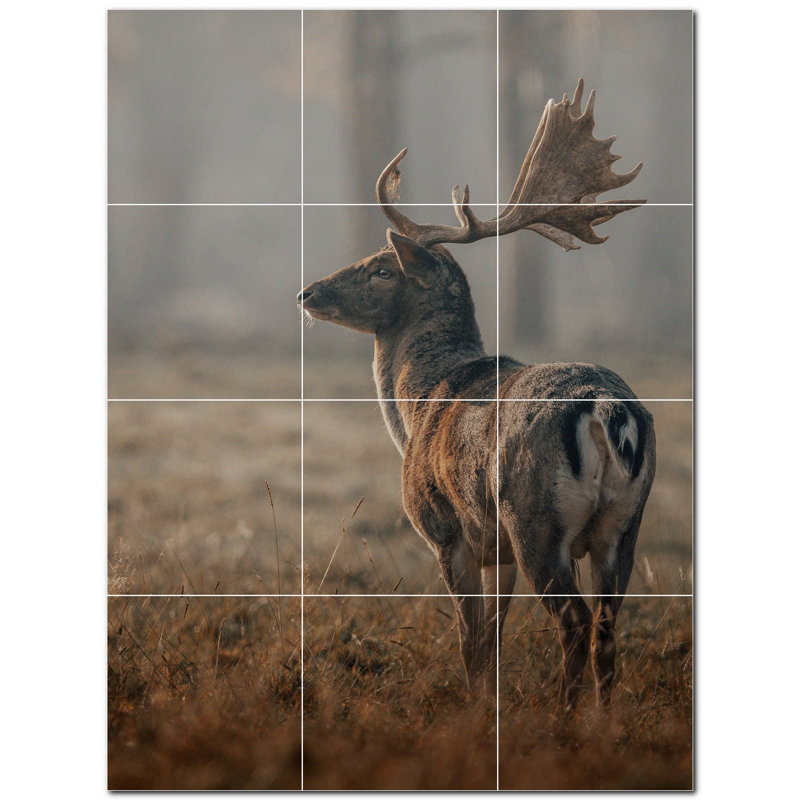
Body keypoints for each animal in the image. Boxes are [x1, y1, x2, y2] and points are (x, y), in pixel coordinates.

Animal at [298, 79, 656, 710]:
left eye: (383, 269)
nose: (308, 292)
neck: (418, 405)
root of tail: (607, 411)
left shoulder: (447, 528)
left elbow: (469, 637)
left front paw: (471, 709)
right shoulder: (497, 549)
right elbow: (492, 634)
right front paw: (488, 703)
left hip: (535, 518)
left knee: (574, 622)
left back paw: (563, 721)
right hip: (623, 526)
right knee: (608, 630)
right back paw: (601, 722)